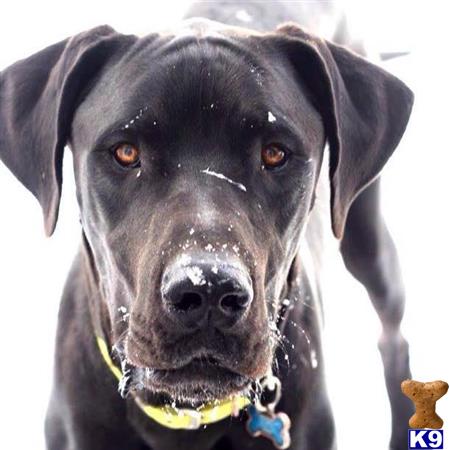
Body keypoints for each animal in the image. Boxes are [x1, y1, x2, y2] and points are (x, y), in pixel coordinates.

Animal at [0, 0, 414, 450]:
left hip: (369, 245)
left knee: (393, 337)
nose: (209, 289)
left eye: (275, 153)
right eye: (126, 152)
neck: (186, 415)